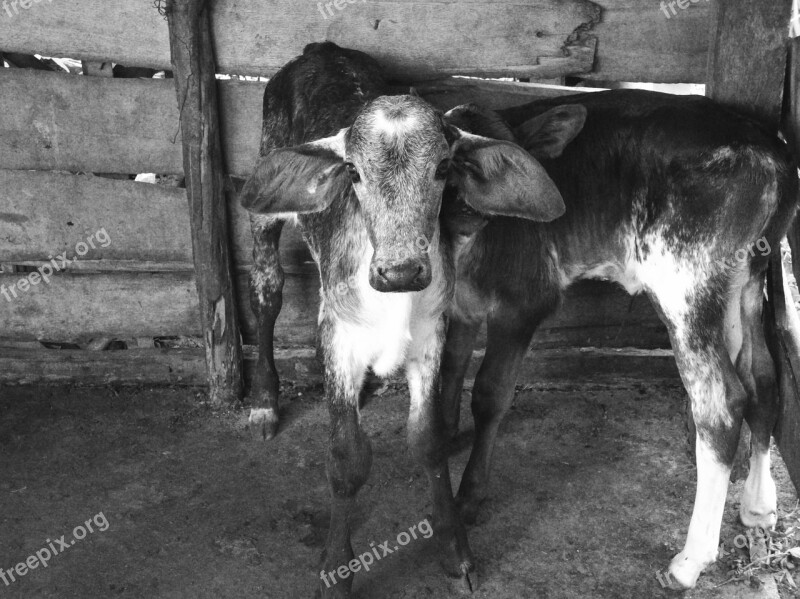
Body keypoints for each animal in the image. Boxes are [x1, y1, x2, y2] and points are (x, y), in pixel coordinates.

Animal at [241, 41, 564, 596]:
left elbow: (429, 442)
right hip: (265, 209)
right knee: (267, 293)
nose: (400, 270)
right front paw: (336, 568)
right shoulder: (336, 336)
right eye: (353, 172)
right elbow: (347, 458)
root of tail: (321, 48)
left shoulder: (431, 338)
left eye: (443, 168)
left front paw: (455, 552)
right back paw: (264, 401)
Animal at [440, 90, 796, 592]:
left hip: (684, 281)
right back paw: (758, 506)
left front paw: (470, 497)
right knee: (762, 377)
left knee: (722, 403)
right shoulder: (460, 306)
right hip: (745, 279)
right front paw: (445, 432)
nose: (470, 215)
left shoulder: (523, 303)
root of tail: (774, 153)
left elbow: (489, 393)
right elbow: (451, 367)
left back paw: (690, 561)